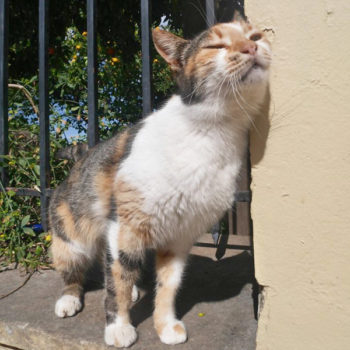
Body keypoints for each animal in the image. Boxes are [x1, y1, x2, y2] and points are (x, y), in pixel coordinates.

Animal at [48, 17, 270, 350]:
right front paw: (119, 327)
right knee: (77, 270)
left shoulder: (180, 234)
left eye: (255, 36)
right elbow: (117, 282)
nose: (251, 47)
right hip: (71, 237)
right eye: (215, 45)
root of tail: (80, 157)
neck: (211, 132)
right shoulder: (125, 224)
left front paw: (165, 325)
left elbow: (168, 283)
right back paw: (69, 299)